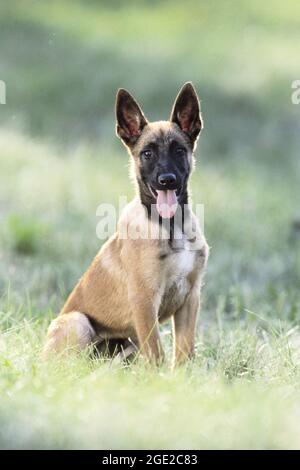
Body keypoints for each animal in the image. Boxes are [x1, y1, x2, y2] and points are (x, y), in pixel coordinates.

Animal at [44, 82, 209, 366]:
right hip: (78, 322)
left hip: (128, 345)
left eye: (179, 150)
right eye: (147, 153)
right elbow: (157, 353)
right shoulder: (145, 300)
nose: (167, 180)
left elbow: (184, 353)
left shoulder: (190, 298)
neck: (170, 226)